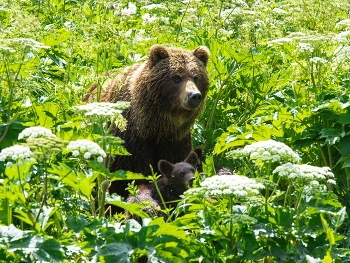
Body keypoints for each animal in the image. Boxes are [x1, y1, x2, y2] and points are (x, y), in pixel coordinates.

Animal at [84, 45, 211, 202]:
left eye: (196, 77)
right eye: (176, 77)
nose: (194, 96)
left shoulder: (175, 141)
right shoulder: (130, 141)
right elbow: (123, 179)